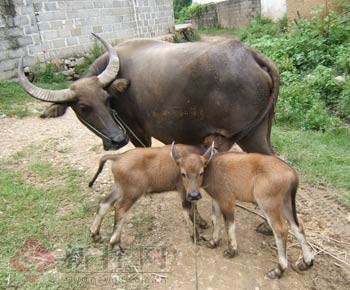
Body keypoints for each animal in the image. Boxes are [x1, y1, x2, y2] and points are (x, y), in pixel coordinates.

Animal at [19, 33, 282, 154]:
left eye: (106, 100)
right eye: (83, 107)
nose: (118, 140)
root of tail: (250, 54)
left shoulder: (137, 132)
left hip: (251, 137)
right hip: (264, 128)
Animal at [172, 146, 314, 280]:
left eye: (201, 172)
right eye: (183, 173)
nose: (193, 195)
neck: (212, 168)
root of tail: (292, 173)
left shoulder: (227, 201)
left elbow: (229, 225)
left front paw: (232, 251)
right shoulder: (217, 199)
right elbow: (215, 220)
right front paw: (213, 242)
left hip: (268, 204)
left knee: (281, 230)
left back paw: (279, 269)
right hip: (286, 204)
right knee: (297, 226)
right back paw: (307, 261)